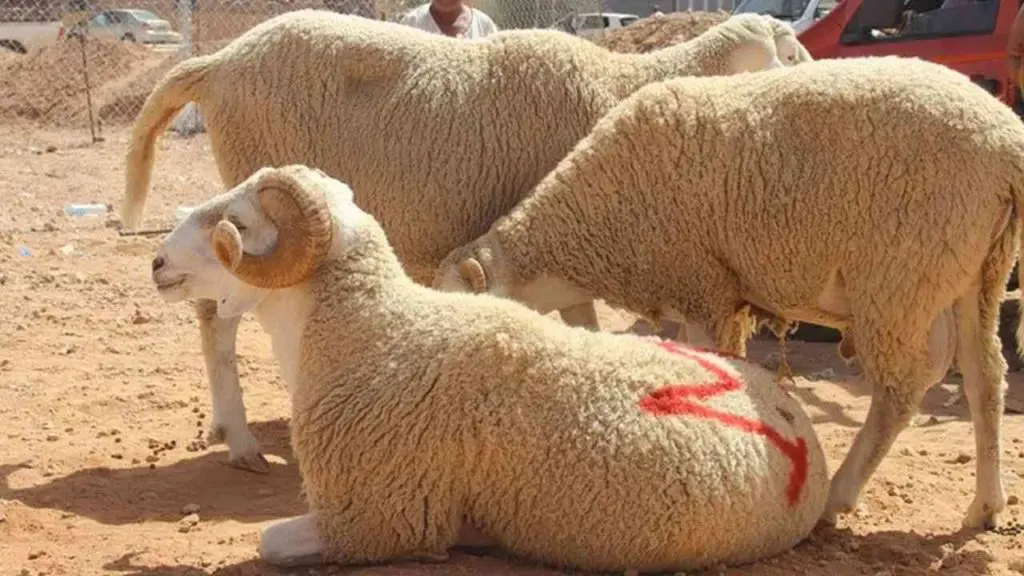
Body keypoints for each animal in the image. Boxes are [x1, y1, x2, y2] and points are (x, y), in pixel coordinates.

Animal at [120, 8, 813, 473]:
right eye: (790, 54)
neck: (621, 85)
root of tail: (219, 60)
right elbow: (578, 321)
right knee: (215, 319)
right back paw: (240, 443)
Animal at [149, 164, 830, 573]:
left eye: (233, 222)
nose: (156, 262)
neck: (370, 330)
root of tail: (793, 419)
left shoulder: (371, 518)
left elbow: (268, 541)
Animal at [431, 55, 1024, 530]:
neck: (592, 224)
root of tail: (1005, 143)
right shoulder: (714, 292)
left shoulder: (703, 287)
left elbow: (710, 361)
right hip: (977, 273)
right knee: (985, 376)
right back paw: (986, 506)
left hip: (902, 273)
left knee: (901, 390)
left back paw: (839, 496)